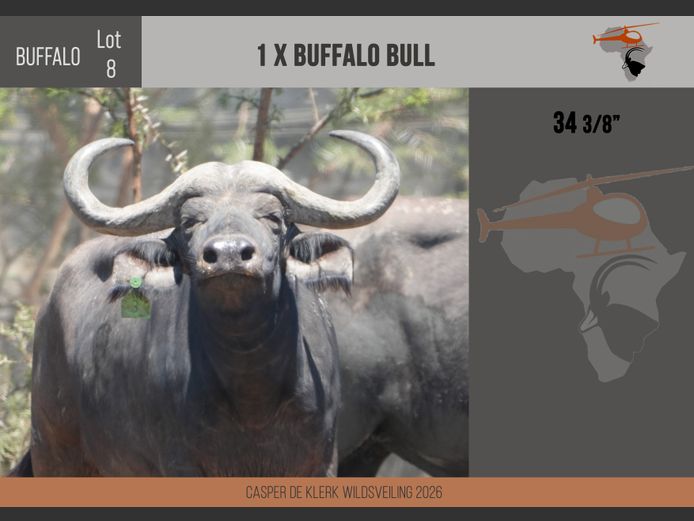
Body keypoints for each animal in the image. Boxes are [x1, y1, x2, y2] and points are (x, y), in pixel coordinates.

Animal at [18, 130, 399, 476]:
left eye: (273, 218)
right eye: (190, 221)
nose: (228, 254)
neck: (253, 392)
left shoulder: (322, 461)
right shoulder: (180, 464)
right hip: (54, 453)